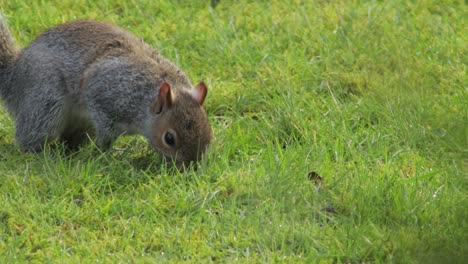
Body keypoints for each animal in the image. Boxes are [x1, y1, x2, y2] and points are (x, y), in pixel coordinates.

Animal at [0, 16, 212, 165]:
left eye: (209, 132)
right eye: (169, 138)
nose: (189, 166)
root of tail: (14, 78)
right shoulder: (104, 97)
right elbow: (105, 135)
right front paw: (102, 154)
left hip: (80, 124)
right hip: (45, 99)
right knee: (30, 136)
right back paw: (42, 156)